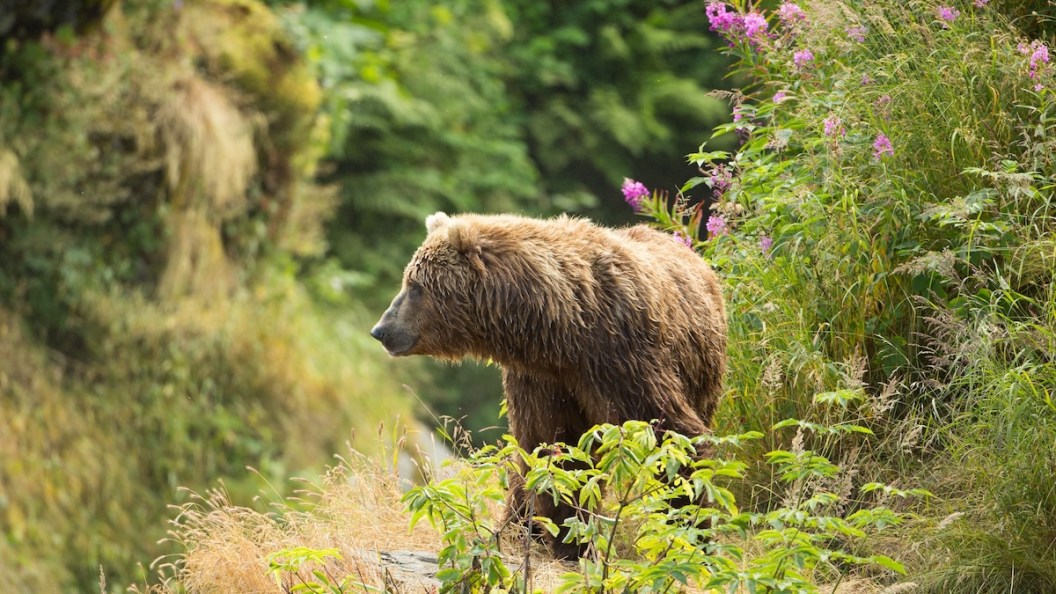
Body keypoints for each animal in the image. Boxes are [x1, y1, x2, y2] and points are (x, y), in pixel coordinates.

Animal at [370, 211, 727, 558]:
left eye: (414, 285)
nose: (381, 329)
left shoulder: (620, 358)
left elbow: (669, 432)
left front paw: (688, 527)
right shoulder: (542, 380)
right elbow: (552, 446)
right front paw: (558, 536)